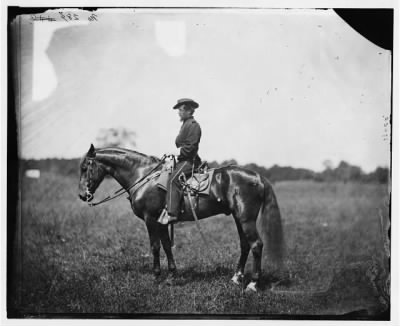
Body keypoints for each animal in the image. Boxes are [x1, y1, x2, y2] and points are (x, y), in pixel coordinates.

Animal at [78, 144, 284, 292]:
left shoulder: (150, 219)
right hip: (238, 218)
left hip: (246, 219)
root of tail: (258, 177)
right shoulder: (162, 222)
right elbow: (167, 246)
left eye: (85, 168)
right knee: (244, 244)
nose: (82, 195)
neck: (143, 176)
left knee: (256, 244)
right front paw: (171, 276)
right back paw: (236, 278)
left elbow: (155, 246)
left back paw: (253, 284)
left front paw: (156, 277)